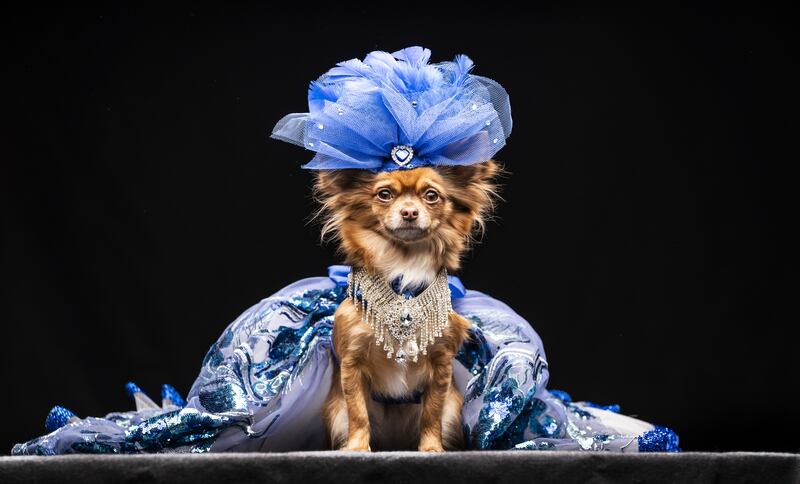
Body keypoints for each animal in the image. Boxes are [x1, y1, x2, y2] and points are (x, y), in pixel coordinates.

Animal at [314, 161, 496, 452]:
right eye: (384, 194)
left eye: (431, 196)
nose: (409, 212)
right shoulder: (352, 365)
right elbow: (358, 412)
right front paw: (357, 447)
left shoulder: (441, 365)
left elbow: (432, 412)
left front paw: (431, 448)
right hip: (336, 414)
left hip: (452, 413)